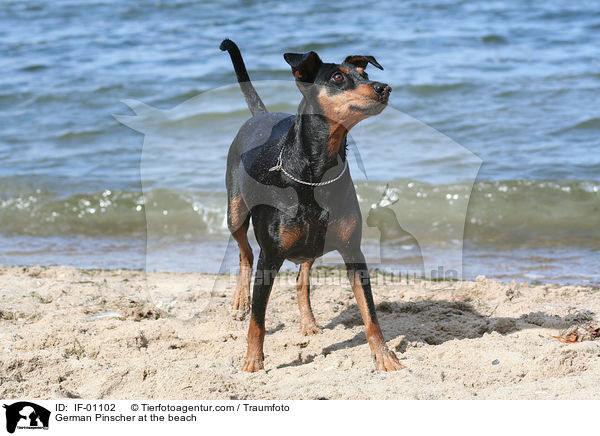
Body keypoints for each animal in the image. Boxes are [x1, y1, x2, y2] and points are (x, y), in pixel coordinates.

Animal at [220, 39, 404, 372]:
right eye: (337, 77)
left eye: (364, 73)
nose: (384, 87)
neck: (316, 173)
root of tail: (260, 115)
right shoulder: (270, 256)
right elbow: (258, 321)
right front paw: (253, 362)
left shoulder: (354, 252)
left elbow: (370, 315)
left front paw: (385, 357)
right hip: (235, 210)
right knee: (245, 253)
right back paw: (240, 300)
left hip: (312, 241)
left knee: (301, 278)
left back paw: (308, 322)